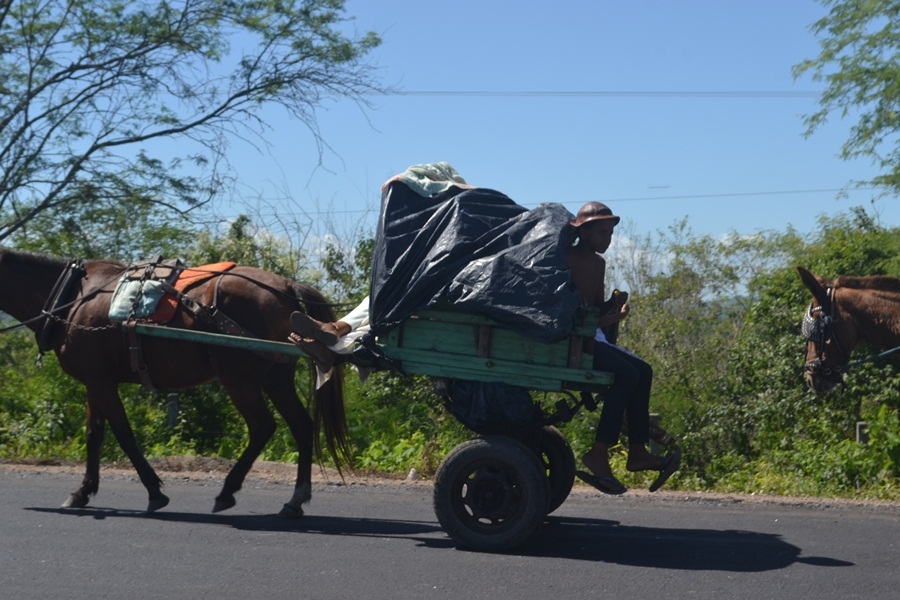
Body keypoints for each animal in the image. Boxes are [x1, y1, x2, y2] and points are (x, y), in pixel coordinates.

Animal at [0, 248, 348, 516]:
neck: (72, 297)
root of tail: (286, 286)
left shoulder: (100, 382)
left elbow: (123, 435)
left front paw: (155, 492)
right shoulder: (95, 381)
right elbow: (94, 435)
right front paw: (83, 491)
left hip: (238, 378)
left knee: (263, 427)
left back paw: (228, 491)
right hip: (274, 377)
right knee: (301, 425)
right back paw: (294, 500)